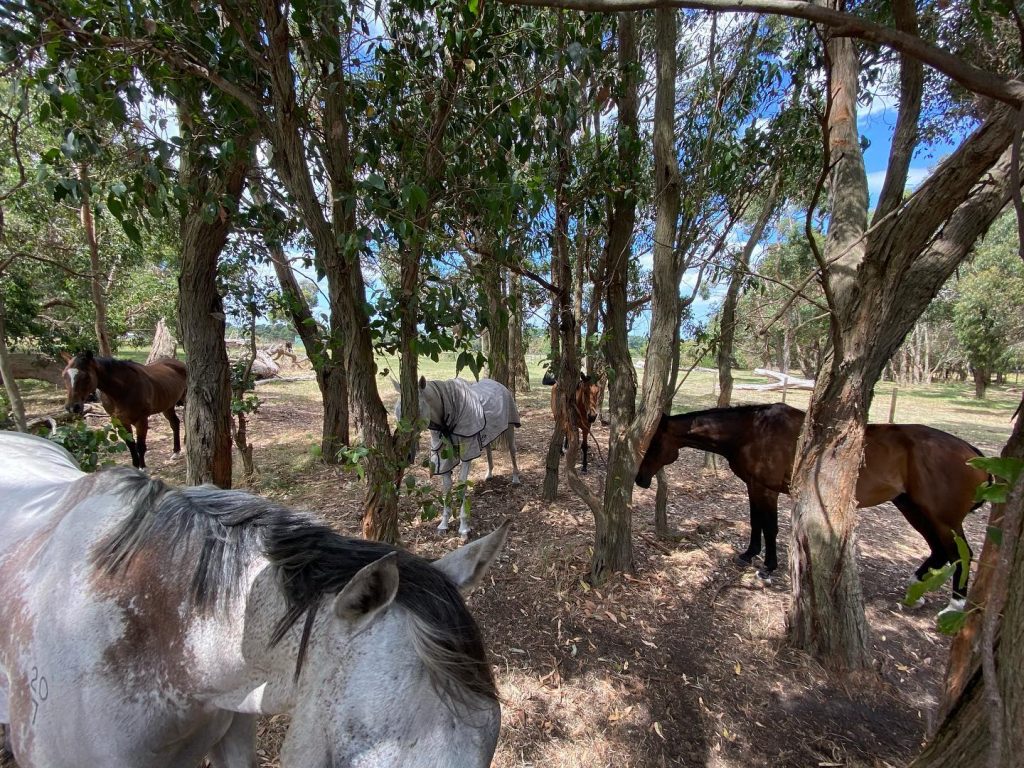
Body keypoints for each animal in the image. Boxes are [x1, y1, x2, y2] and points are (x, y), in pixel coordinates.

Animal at [397, 376, 520, 536]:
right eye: (396, 413)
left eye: (415, 412)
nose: (406, 456)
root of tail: (498, 384)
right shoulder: (443, 458)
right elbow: (447, 487)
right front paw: (443, 524)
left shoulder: (468, 451)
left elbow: (461, 484)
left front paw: (463, 528)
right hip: (487, 434)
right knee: (488, 449)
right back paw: (489, 474)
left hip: (510, 427)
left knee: (512, 451)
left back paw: (516, 478)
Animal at [634, 403, 987, 614]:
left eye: (654, 443)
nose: (640, 479)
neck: (753, 430)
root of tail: (971, 452)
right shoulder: (753, 487)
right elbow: (756, 523)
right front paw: (749, 555)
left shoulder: (766, 489)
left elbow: (770, 526)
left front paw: (767, 567)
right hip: (913, 508)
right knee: (940, 550)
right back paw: (916, 589)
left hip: (942, 517)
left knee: (961, 553)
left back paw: (955, 605)